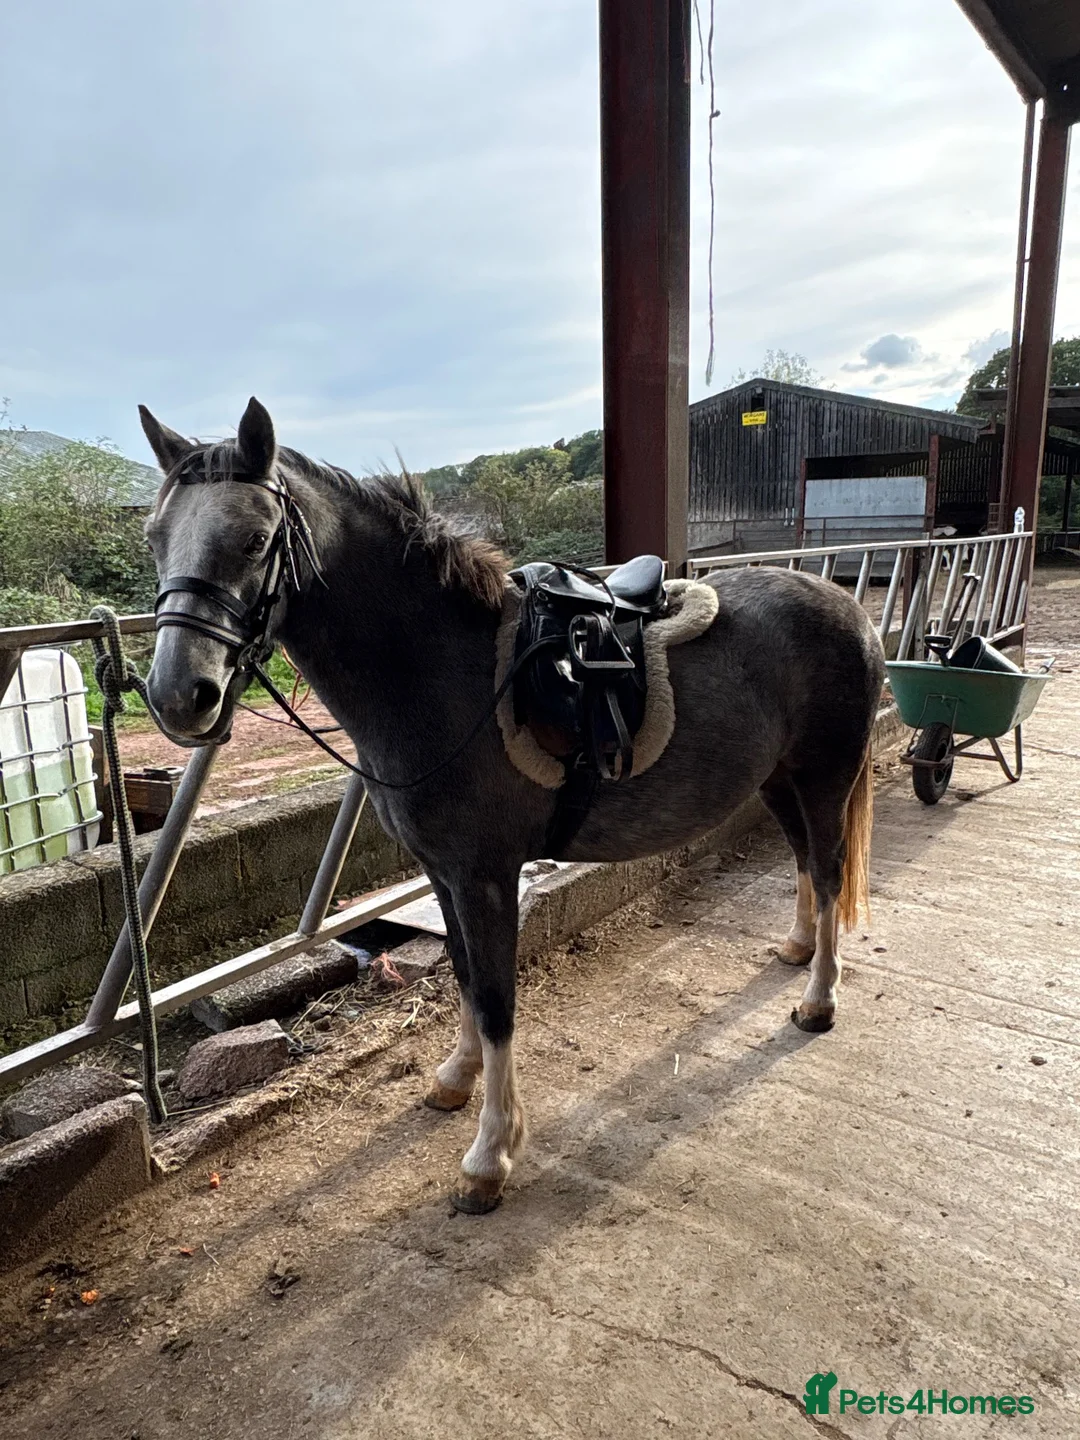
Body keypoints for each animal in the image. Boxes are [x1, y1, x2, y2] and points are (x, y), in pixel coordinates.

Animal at [140, 397, 885, 1213]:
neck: (441, 670)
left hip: (826, 776)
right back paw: (798, 950)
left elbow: (497, 999)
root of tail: (846, 604)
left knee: (829, 872)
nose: (177, 695)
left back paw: (819, 999)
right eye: (155, 538)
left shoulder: (485, 876)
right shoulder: (442, 873)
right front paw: (454, 1080)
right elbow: (464, 976)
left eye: (255, 539)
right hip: (779, 778)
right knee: (805, 864)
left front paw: (490, 1155)